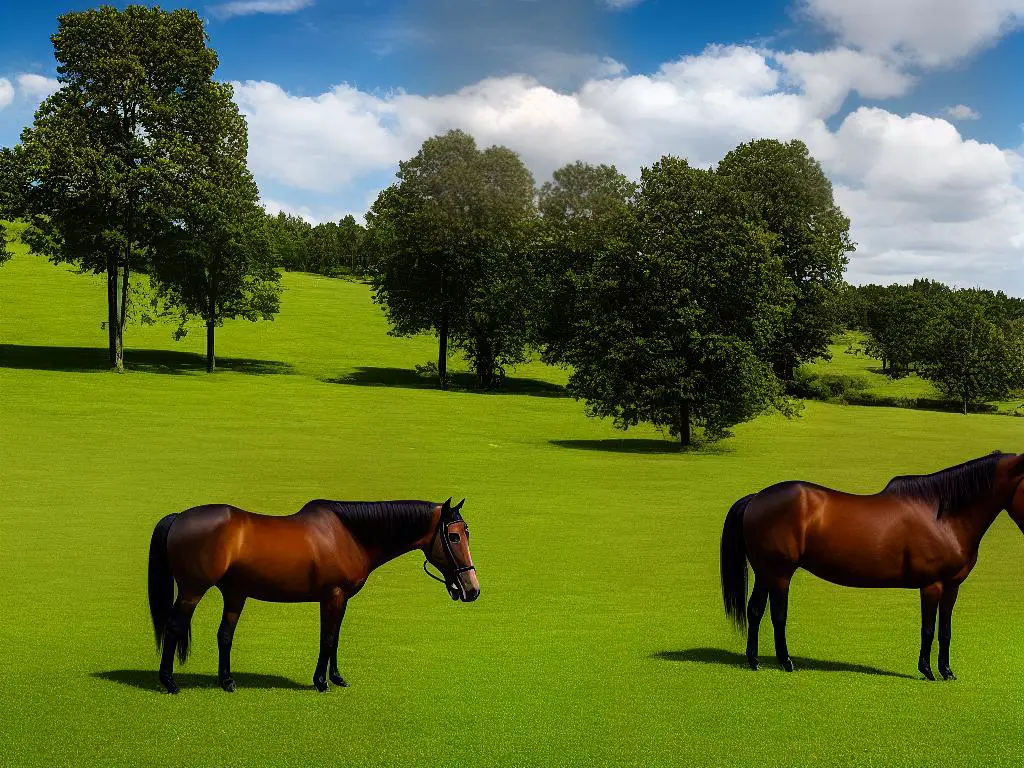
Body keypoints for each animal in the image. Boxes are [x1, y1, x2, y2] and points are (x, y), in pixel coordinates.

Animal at [146, 499, 477, 696]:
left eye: (466, 533)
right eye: (454, 536)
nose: (472, 589)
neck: (348, 534)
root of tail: (179, 517)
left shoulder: (342, 599)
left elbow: (336, 638)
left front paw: (337, 677)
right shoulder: (332, 596)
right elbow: (327, 639)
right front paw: (321, 682)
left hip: (234, 594)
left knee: (224, 635)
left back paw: (227, 681)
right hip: (192, 591)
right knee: (174, 628)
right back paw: (169, 682)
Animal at [720, 450, 1024, 679]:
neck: (943, 516)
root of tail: (756, 498)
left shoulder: (952, 586)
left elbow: (945, 630)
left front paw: (946, 671)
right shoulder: (931, 585)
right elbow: (928, 628)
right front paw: (926, 670)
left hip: (765, 573)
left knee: (755, 610)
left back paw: (754, 661)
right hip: (780, 573)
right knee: (777, 615)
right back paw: (785, 662)